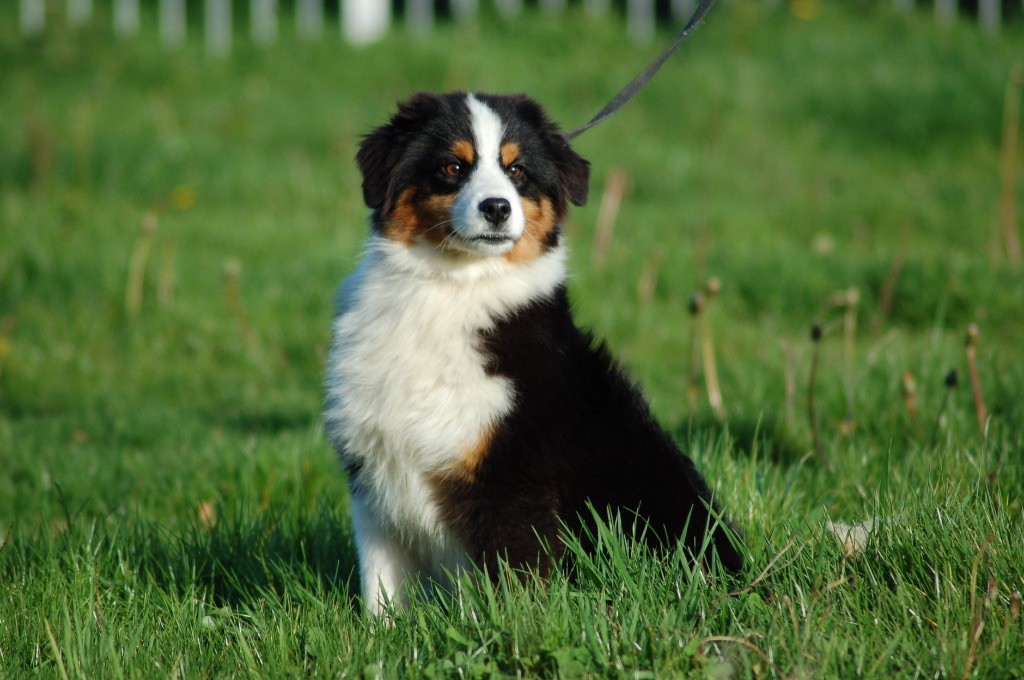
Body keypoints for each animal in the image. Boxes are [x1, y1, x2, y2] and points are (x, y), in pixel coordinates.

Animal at [323, 90, 741, 614]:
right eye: (452, 167)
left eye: (517, 170)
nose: (497, 208)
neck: (452, 287)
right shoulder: (374, 474)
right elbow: (380, 589)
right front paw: (383, 633)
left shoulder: (512, 481)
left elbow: (510, 584)